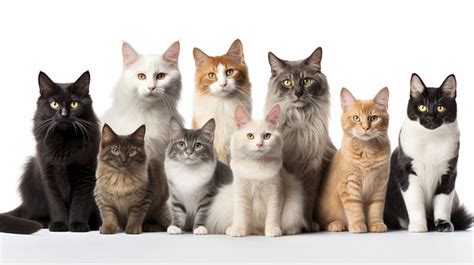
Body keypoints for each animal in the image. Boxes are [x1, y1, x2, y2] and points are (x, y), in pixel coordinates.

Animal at [0, 70, 101, 233]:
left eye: (74, 104)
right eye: (54, 104)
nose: (64, 114)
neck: (64, 142)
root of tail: (24, 204)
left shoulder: (86, 174)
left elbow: (80, 203)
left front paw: (78, 224)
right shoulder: (49, 174)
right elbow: (56, 203)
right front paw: (59, 224)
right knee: (33, 214)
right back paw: (45, 222)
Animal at [211, 104, 304, 236]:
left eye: (267, 136)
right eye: (250, 136)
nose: (259, 145)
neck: (257, 166)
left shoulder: (275, 193)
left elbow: (272, 216)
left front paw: (272, 230)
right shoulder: (241, 192)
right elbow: (241, 215)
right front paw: (238, 230)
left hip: (293, 208)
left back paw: (290, 231)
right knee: (249, 227)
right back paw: (232, 229)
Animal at [262, 48, 336, 231]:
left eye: (306, 81)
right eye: (287, 82)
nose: (298, 93)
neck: (298, 121)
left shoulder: (313, 170)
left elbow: (308, 202)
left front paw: (308, 225)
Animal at [316, 86, 390, 231]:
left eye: (373, 118)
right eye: (356, 118)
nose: (366, 127)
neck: (367, 151)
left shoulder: (379, 186)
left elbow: (376, 208)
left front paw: (376, 224)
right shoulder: (349, 185)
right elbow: (354, 208)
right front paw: (357, 224)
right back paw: (336, 224)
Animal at [384, 72, 472, 231]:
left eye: (441, 108)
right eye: (422, 107)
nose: (431, 117)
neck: (431, 139)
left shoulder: (449, 174)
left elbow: (443, 203)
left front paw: (443, 224)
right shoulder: (407, 172)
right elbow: (415, 203)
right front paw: (419, 225)